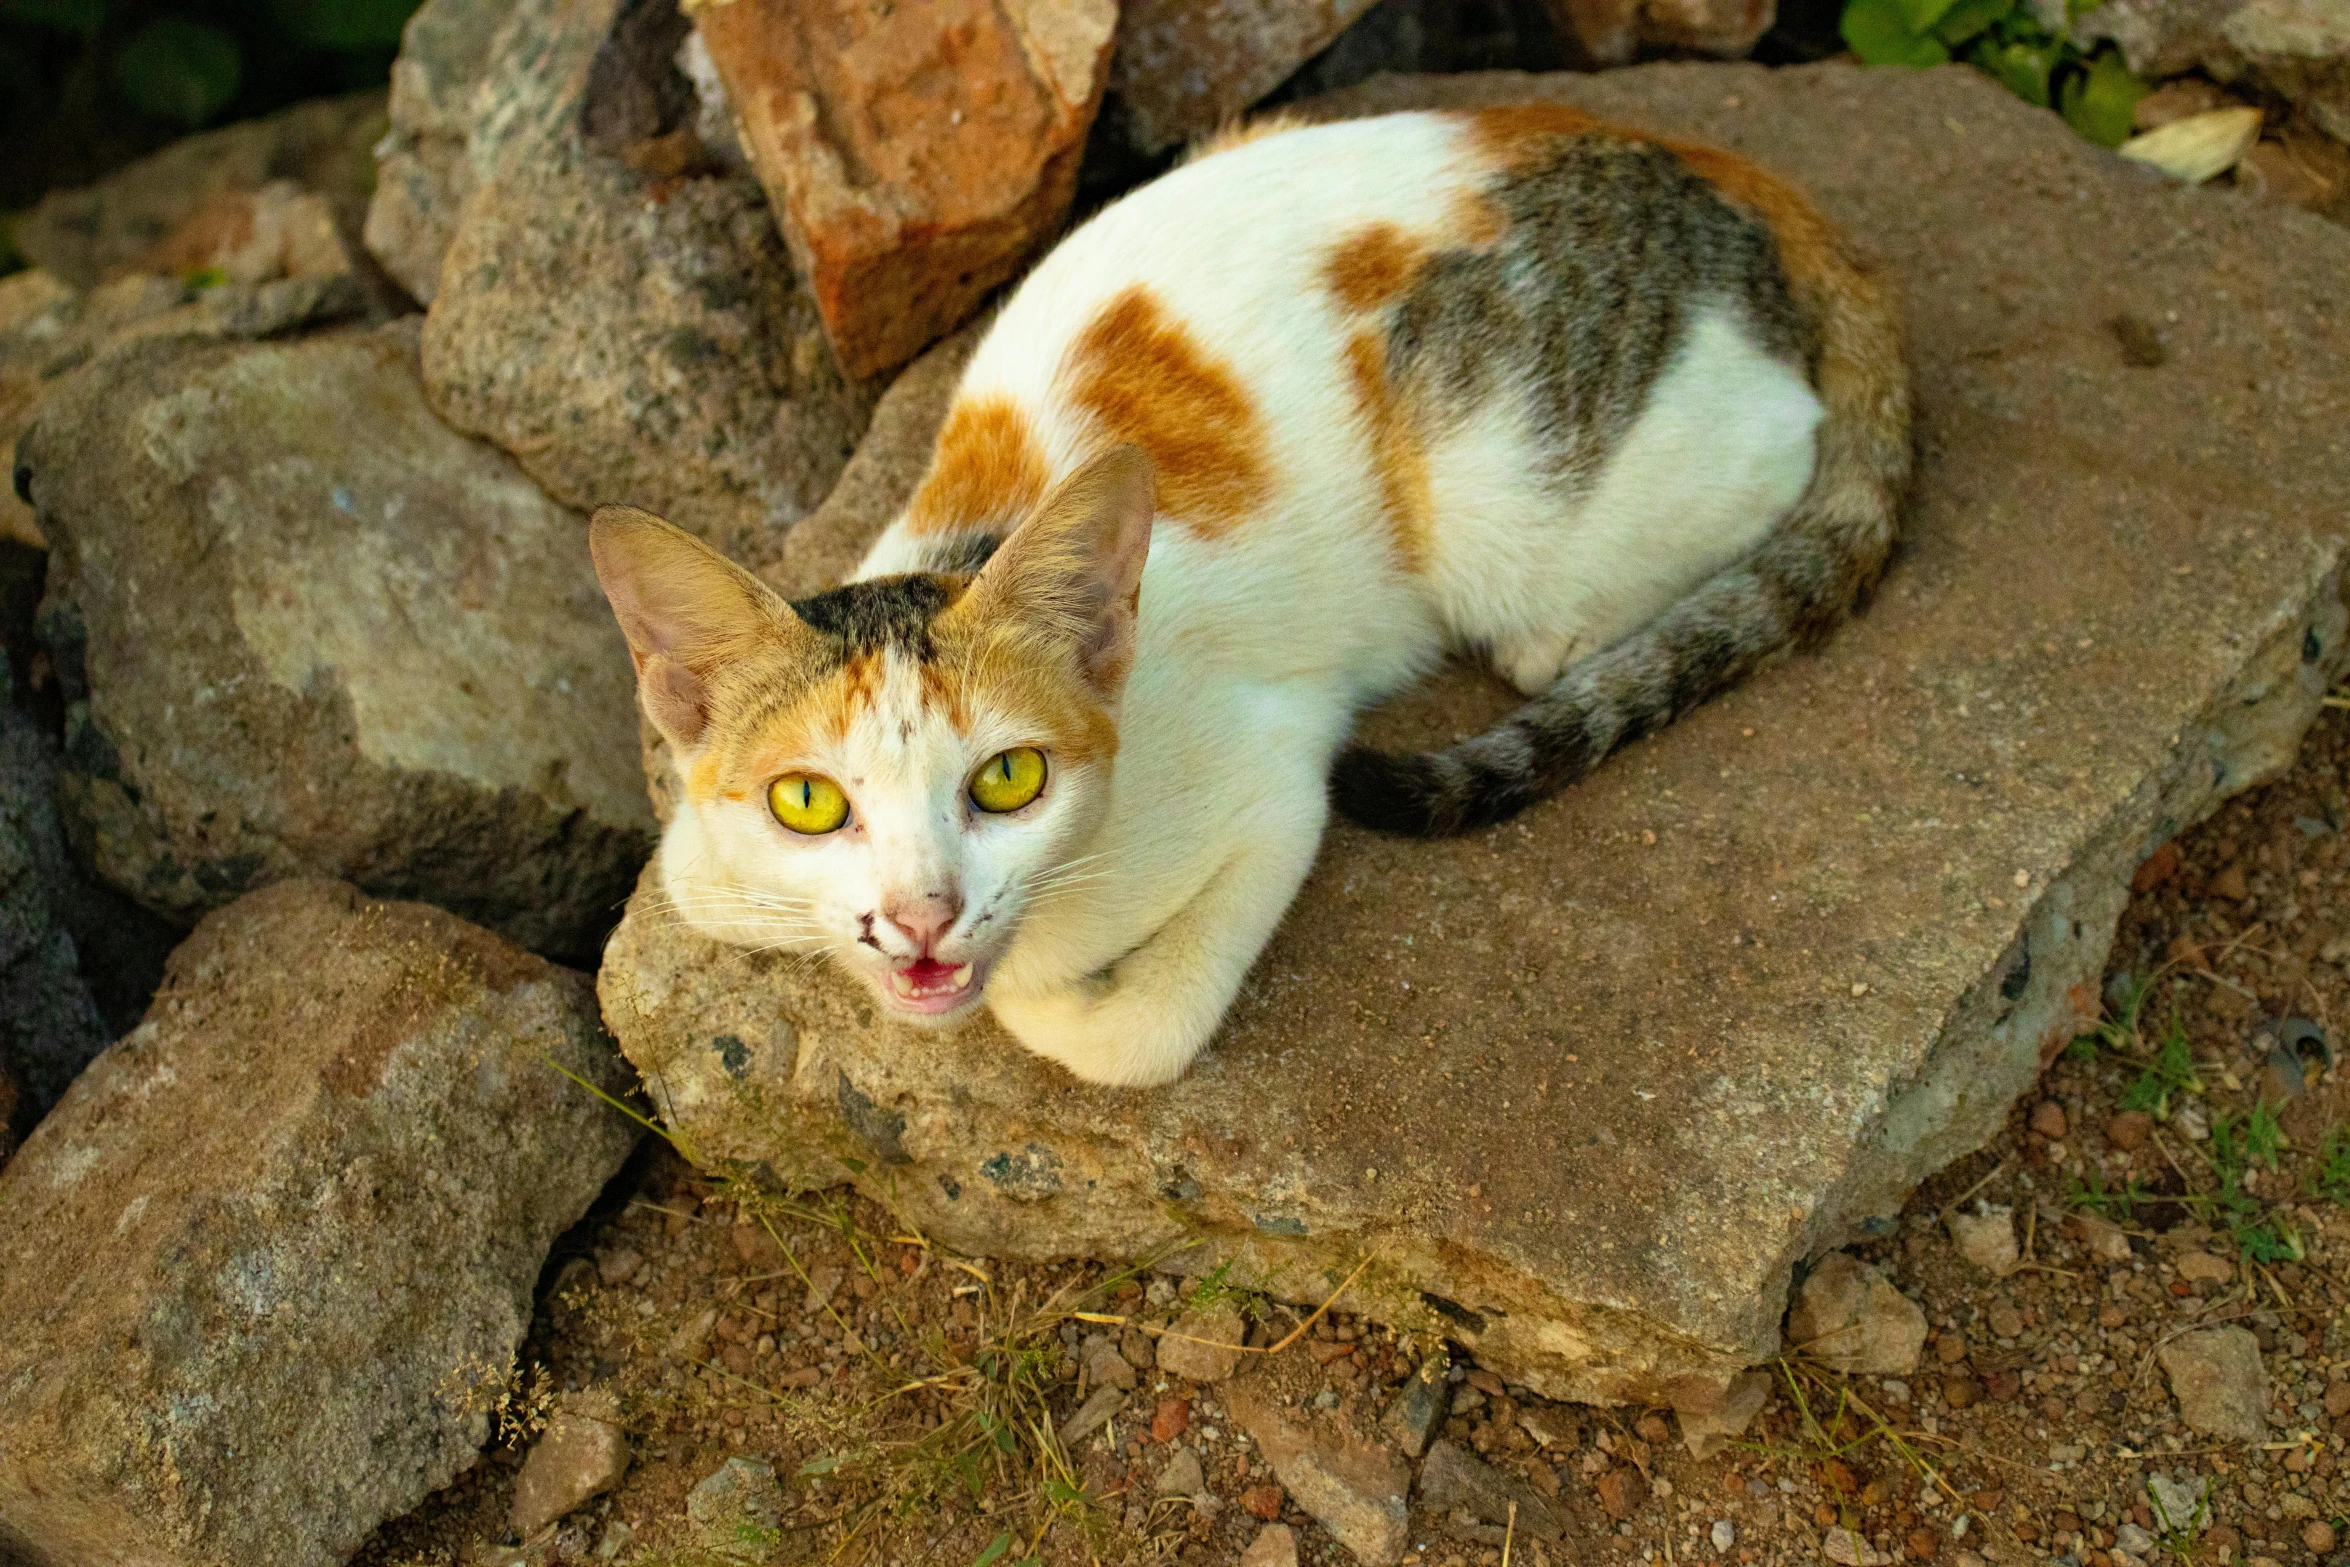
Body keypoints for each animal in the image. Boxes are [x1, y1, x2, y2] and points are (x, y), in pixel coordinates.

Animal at [587, 103, 1908, 1090]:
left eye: (1007, 780)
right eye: (809, 803)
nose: (919, 916)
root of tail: (1701, 163)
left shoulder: (1276, 778)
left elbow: (1131, 1031)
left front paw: (1039, 1004)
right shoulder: (699, 860)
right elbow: (710, 884)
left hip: (1509, 493)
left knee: (1774, 453)